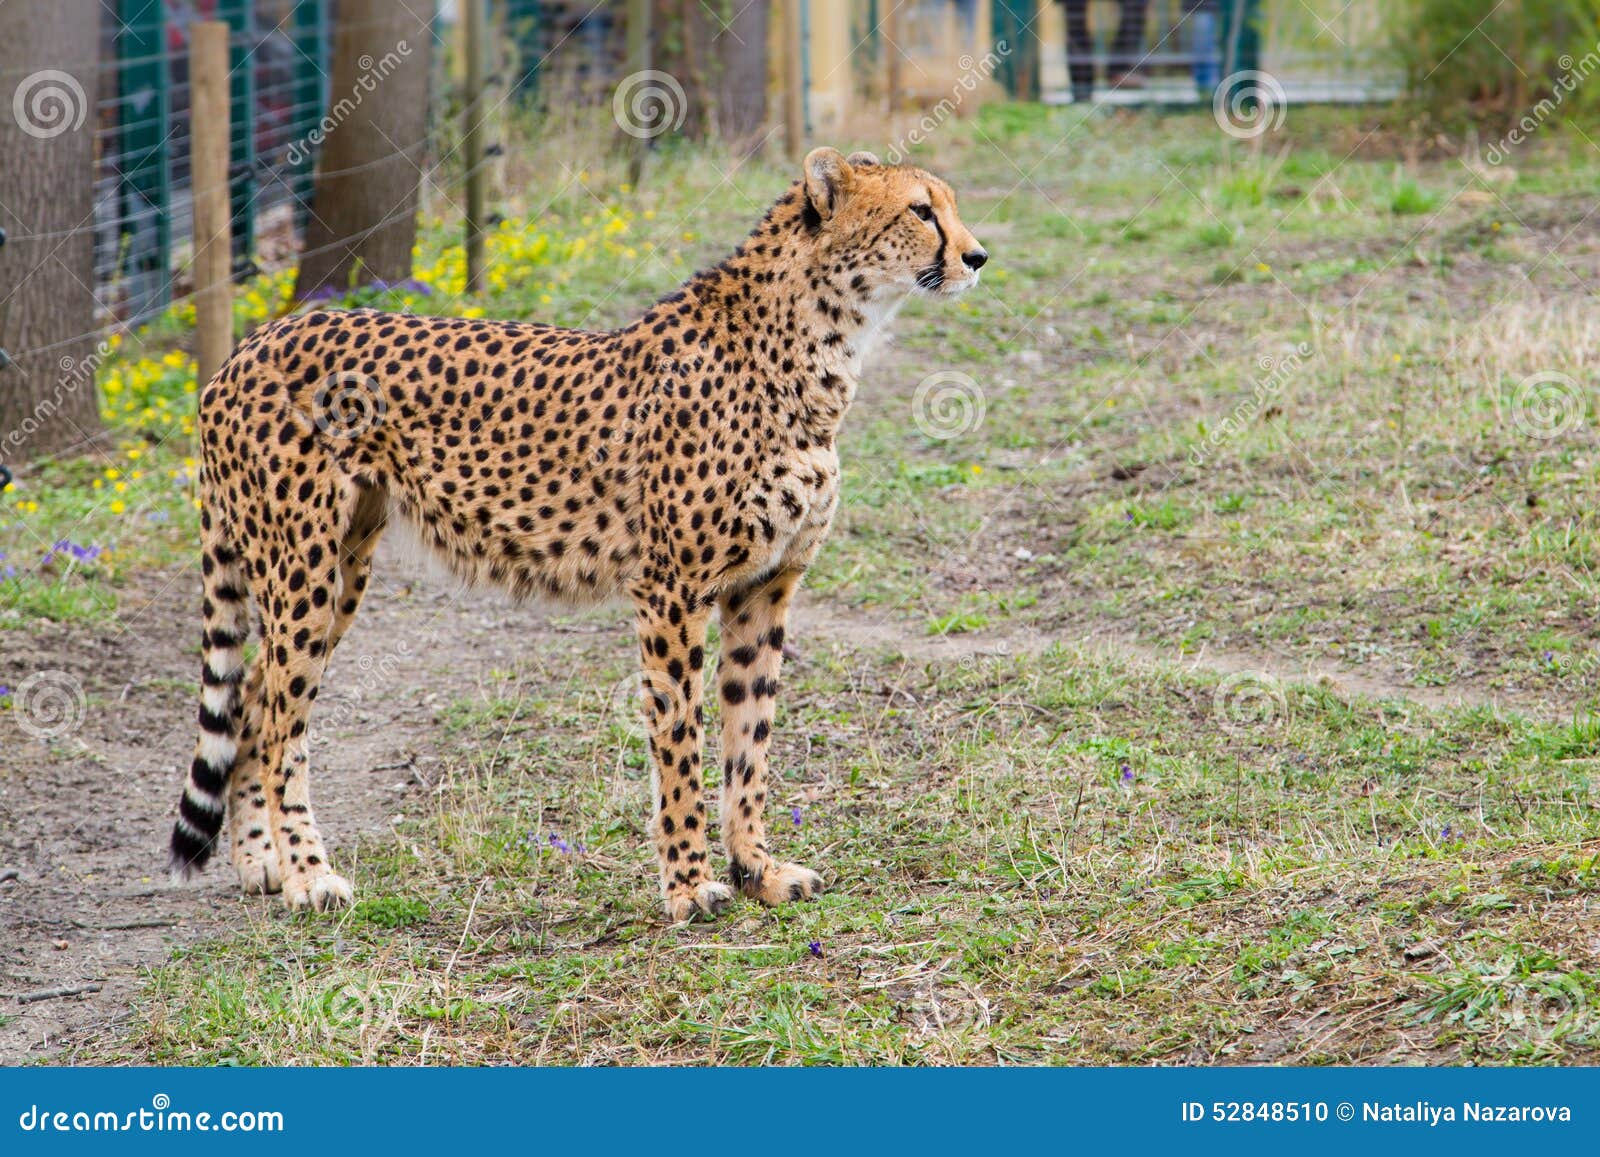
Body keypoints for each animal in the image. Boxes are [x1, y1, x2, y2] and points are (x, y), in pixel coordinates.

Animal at [165, 147, 985, 921]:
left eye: (948, 203)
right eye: (921, 210)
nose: (977, 256)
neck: (821, 342)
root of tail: (247, 346)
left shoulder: (764, 588)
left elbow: (748, 743)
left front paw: (758, 870)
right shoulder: (673, 590)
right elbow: (682, 741)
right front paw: (689, 884)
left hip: (339, 570)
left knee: (252, 700)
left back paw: (261, 865)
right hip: (301, 571)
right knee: (279, 717)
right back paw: (308, 875)